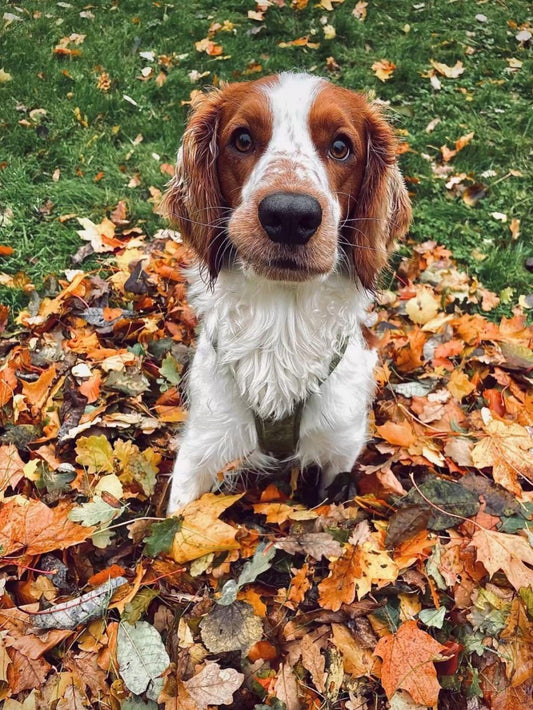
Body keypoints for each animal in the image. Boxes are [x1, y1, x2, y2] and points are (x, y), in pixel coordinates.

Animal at [160, 72, 410, 516]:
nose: (291, 215)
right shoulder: (200, 451)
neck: (283, 320)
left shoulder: (339, 450)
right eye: (242, 140)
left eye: (341, 147)